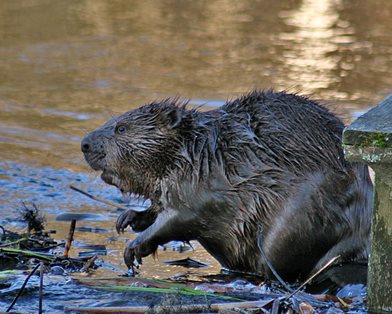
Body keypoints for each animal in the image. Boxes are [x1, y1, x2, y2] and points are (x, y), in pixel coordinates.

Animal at [81, 90, 372, 280]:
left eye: (121, 128)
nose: (85, 143)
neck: (196, 149)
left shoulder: (203, 185)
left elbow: (179, 219)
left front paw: (133, 248)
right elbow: (157, 206)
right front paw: (127, 219)